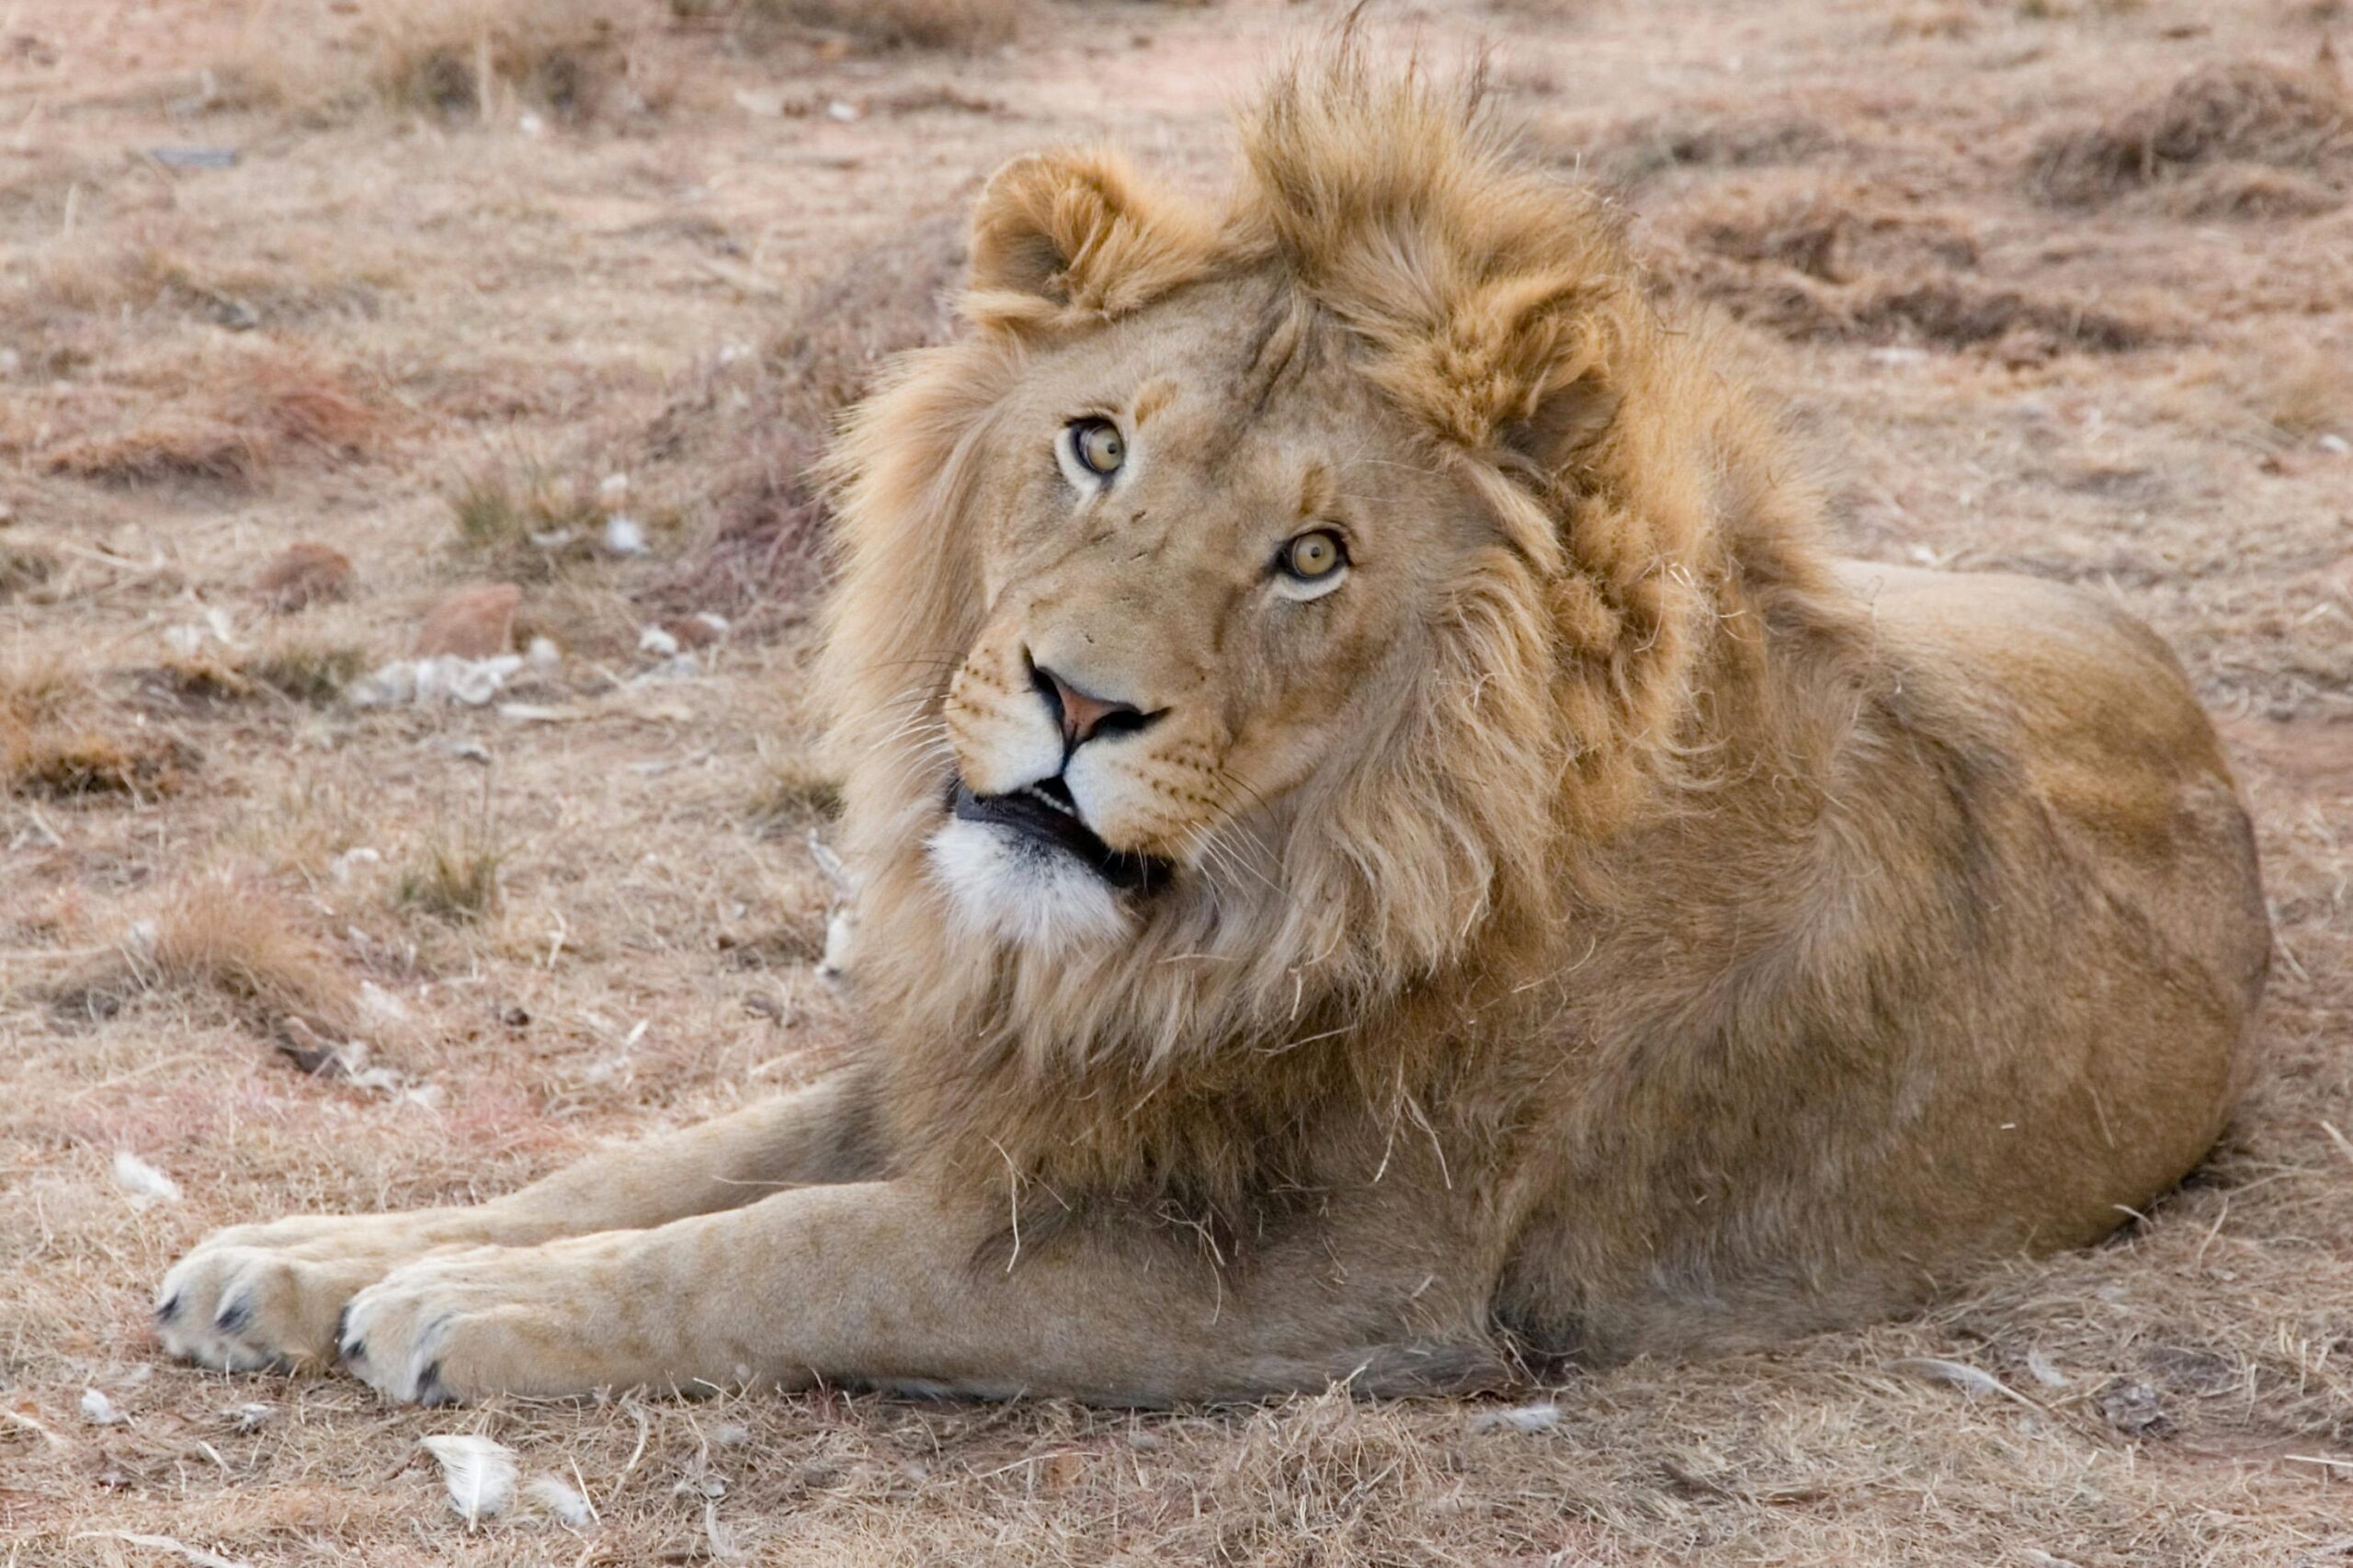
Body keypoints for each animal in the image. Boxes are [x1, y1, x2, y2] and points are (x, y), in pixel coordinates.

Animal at [152, 61, 2258, 1403]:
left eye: (1312, 558)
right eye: (1096, 445)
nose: (1075, 700)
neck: (1234, 918)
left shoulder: (1324, 1289)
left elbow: (814, 1242)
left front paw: (457, 1307)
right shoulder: (999, 1066)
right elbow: (649, 1165)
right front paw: (305, 1256)